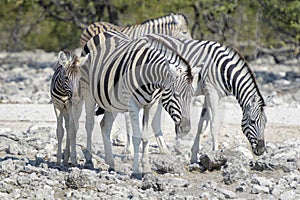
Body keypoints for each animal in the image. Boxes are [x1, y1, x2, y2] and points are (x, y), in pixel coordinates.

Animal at [79, 12, 192, 156]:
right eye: (184, 32)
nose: (186, 128)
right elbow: (132, 123)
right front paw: (130, 150)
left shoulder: (154, 101)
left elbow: (151, 124)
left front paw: (162, 149)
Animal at [79, 31, 202, 178]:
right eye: (176, 94)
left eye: (191, 97)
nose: (186, 128)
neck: (151, 80)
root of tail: (102, 33)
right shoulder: (133, 105)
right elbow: (137, 137)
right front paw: (136, 171)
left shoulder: (151, 105)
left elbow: (145, 138)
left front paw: (147, 168)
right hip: (87, 92)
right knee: (89, 125)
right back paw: (89, 161)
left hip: (111, 101)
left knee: (105, 126)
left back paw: (111, 163)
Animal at [120, 33, 268, 163]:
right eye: (253, 121)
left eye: (265, 123)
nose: (261, 150)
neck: (224, 70)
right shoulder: (212, 92)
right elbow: (214, 124)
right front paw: (215, 153)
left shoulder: (208, 94)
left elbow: (201, 125)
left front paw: (194, 156)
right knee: (128, 116)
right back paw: (130, 151)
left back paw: (164, 150)